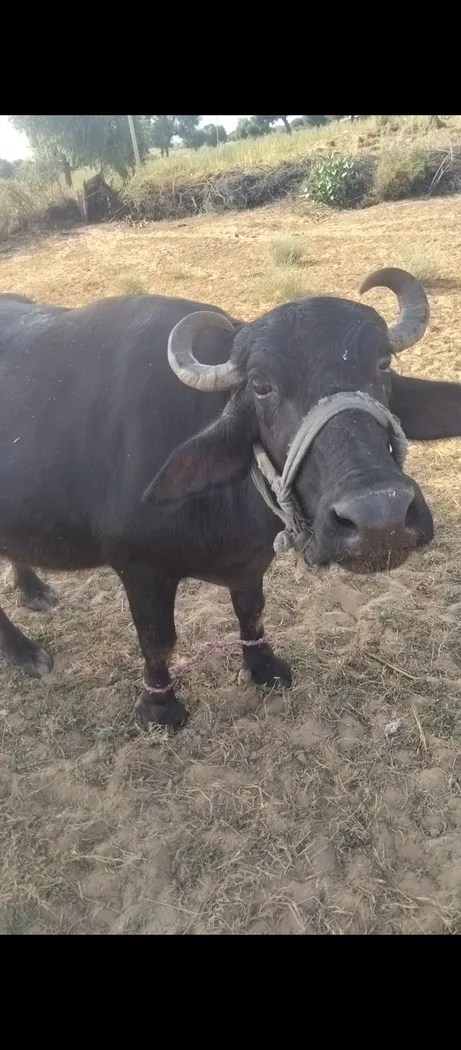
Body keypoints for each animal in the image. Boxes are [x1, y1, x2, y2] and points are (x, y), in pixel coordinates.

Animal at [0, 268, 460, 732]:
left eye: (382, 364)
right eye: (260, 385)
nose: (380, 518)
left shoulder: (249, 562)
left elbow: (251, 611)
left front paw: (263, 666)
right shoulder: (140, 569)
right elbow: (158, 641)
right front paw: (160, 708)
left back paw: (34, 591)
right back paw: (26, 652)